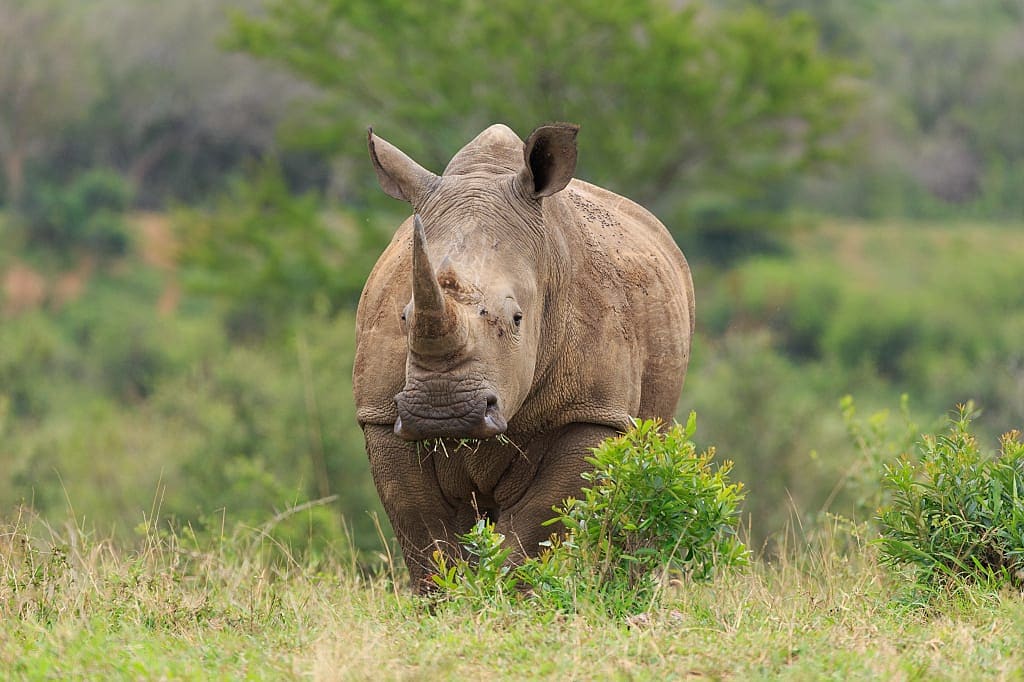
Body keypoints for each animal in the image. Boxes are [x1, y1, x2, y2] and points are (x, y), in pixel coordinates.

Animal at [353, 122, 694, 591]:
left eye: (517, 319)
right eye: (403, 317)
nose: (442, 412)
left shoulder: (591, 412)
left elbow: (535, 529)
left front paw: (504, 599)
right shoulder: (382, 415)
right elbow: (425, 536)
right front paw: (448, 601)